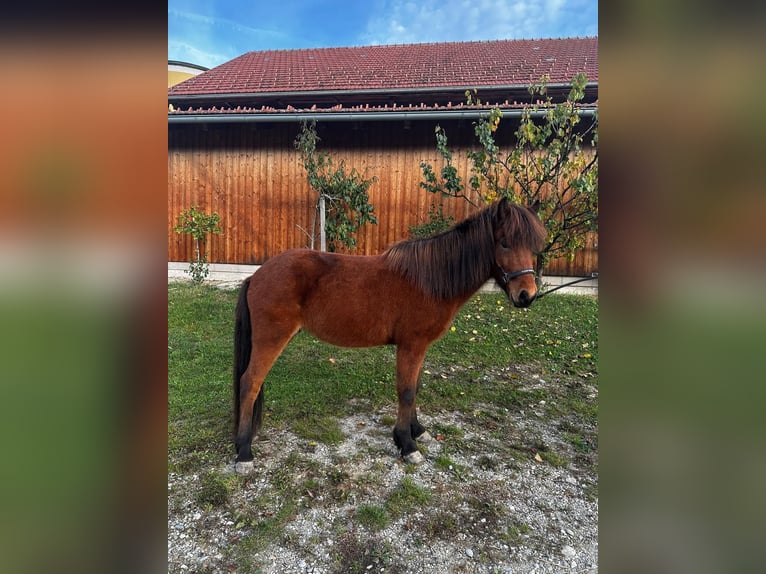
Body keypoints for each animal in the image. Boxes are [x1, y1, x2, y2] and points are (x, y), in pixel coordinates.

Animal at [232, 198, 547, 473]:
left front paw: (417, 431)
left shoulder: (420, 347)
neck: (430, 280)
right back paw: (244, 452)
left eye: (532, 246)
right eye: (504, 242)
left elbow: (415, 387)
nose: (526, 296)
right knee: (250, 383)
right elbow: (406, 391)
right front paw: (407, 445)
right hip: (271, 339)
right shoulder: (411, 345)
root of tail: (257, 276)